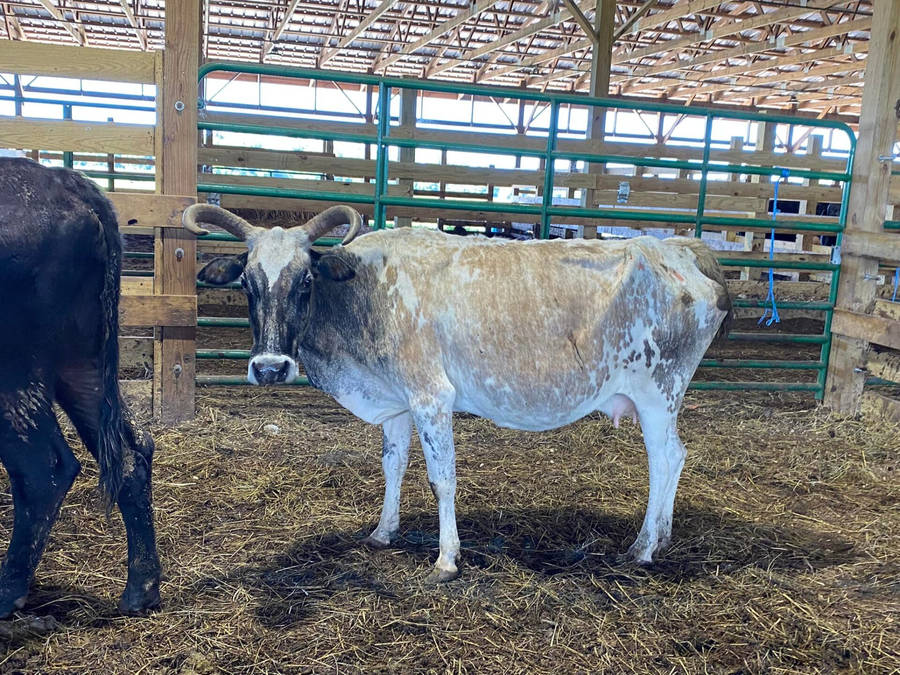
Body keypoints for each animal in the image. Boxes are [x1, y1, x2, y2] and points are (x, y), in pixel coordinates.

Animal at [0, 158, 160, 617]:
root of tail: (65, 180)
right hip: (83, 365)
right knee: (131, 453)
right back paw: (141, 590)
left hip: (15, 368)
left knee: (42, 469)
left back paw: (6, 594)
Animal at [184, 203, 731, 582]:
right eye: (248, 283)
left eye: (304, 281)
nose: (270, 368)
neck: (367, 294)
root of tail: (680, 248)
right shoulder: (397, 402)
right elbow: (393, 465)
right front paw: (383, 532)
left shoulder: (432, 396)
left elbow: (441, 479)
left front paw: (447, 560)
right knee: (676, 457)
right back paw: (662, 536)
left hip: (659, 392)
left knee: (666, 458)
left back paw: (643, 547)